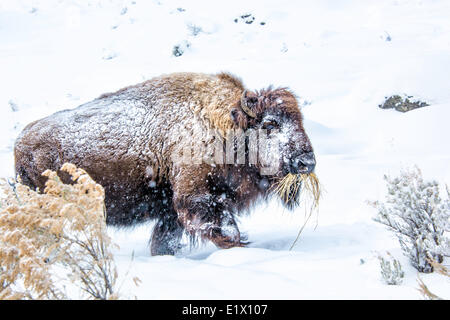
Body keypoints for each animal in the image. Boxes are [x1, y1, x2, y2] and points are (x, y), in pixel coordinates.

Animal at [14, 72, 316, 255]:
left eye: (300, 121)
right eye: (270, 124)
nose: (307, 162)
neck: (224, 125)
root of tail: (21, 141)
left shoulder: (170, 209)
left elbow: (166, 237)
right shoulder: (195, 196)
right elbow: (224, 226)